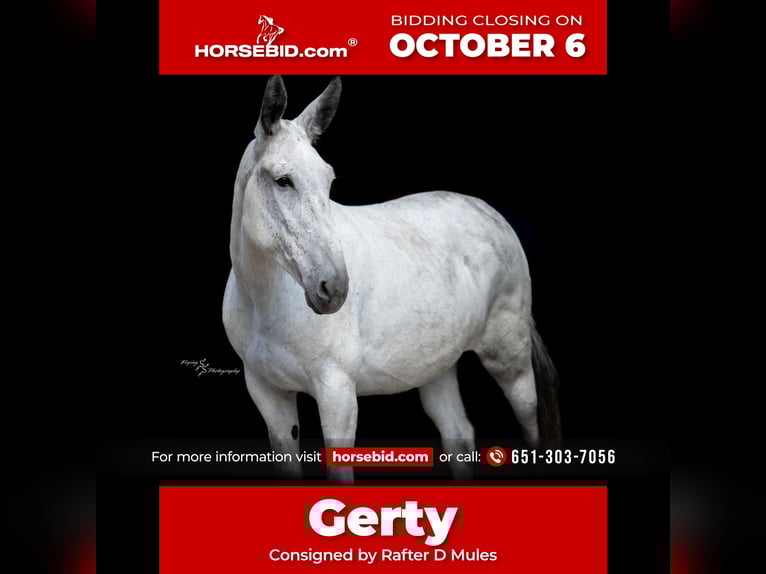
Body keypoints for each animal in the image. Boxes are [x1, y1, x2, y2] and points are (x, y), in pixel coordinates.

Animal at [223, 76, 561, 481]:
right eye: (282, 180)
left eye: (329, 181)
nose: (335, 288)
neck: (264, 301)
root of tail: (491, 214)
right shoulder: (268, 394)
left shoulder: (337, 393)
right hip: (436, 366)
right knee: (459, 435)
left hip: (510, 359)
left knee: (530, 426)